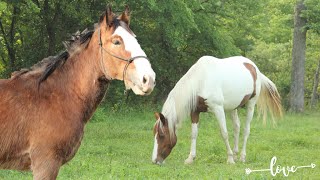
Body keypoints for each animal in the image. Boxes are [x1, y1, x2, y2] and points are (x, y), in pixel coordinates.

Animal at [151, 56, 282, 165]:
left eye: (161, 135)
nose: (155, 161)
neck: (201, 81)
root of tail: (255, 68)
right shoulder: (195, 112)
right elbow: (194, 134)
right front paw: (190, 158)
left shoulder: (218, 109)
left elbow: (224, 133)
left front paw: (229, 159)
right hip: (233, 107)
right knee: (237, 127)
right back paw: (235, 154)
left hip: (251, 105)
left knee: (246, 130)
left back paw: (242, 157)